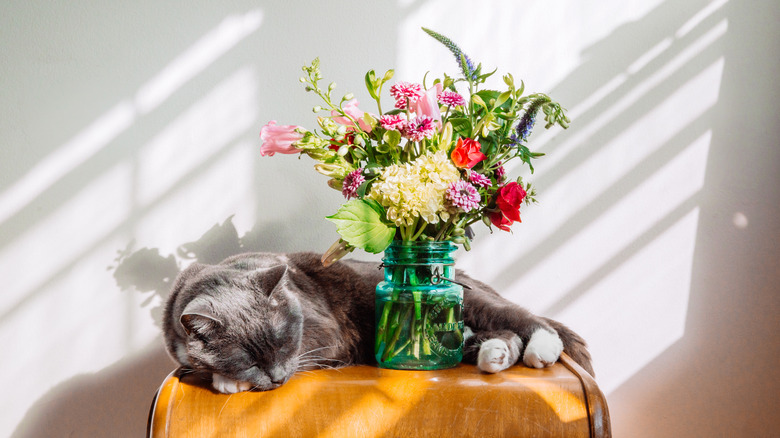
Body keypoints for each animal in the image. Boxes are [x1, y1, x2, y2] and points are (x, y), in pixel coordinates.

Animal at [163, 250, 592, 394]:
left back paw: (542, 348)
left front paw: (226, 382)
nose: (279, 378)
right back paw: (495, 355)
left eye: (284, 341)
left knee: (522, 318)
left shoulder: (325, 332)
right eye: (248, 359)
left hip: (474, 303)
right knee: (500, 336)